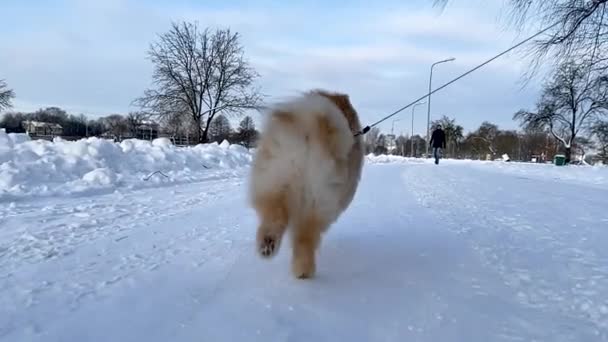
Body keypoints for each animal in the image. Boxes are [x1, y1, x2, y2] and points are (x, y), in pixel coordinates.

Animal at [248, 90, 364, 278]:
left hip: (274, 180)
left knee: (275, 218)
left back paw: (268, 245)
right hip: (317, 201)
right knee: (305, 239)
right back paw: (304, 270)